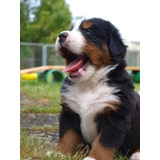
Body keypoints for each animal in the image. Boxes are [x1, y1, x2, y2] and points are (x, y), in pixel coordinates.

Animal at [55, 17, 140, 160]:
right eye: (70, 29)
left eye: (88, 32)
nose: (61, 35)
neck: (89, 84)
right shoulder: (69, 112)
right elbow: (66, 136)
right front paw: (61, 154)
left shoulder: (116, 117)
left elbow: (104, 143)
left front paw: (94, 157)